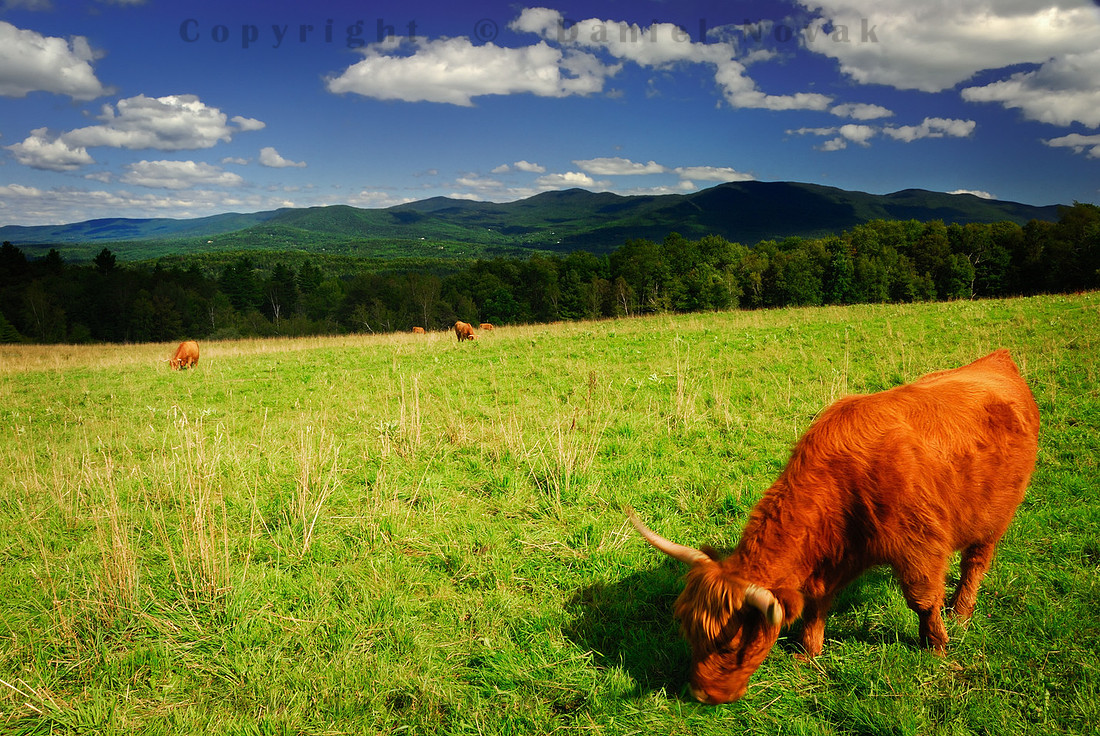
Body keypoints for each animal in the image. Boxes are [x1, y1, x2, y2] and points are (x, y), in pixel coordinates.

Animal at [629, 349, 1039, 704]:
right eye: (689, 631)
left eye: (730, 644)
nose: (702, 694)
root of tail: (996, 359)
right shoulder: (832, 556)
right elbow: (816, 602)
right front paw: (807, 652)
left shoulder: (919, 544)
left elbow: (922, 600)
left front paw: (936, 646)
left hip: (995, 515)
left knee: (976, 562)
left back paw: (961, 611)